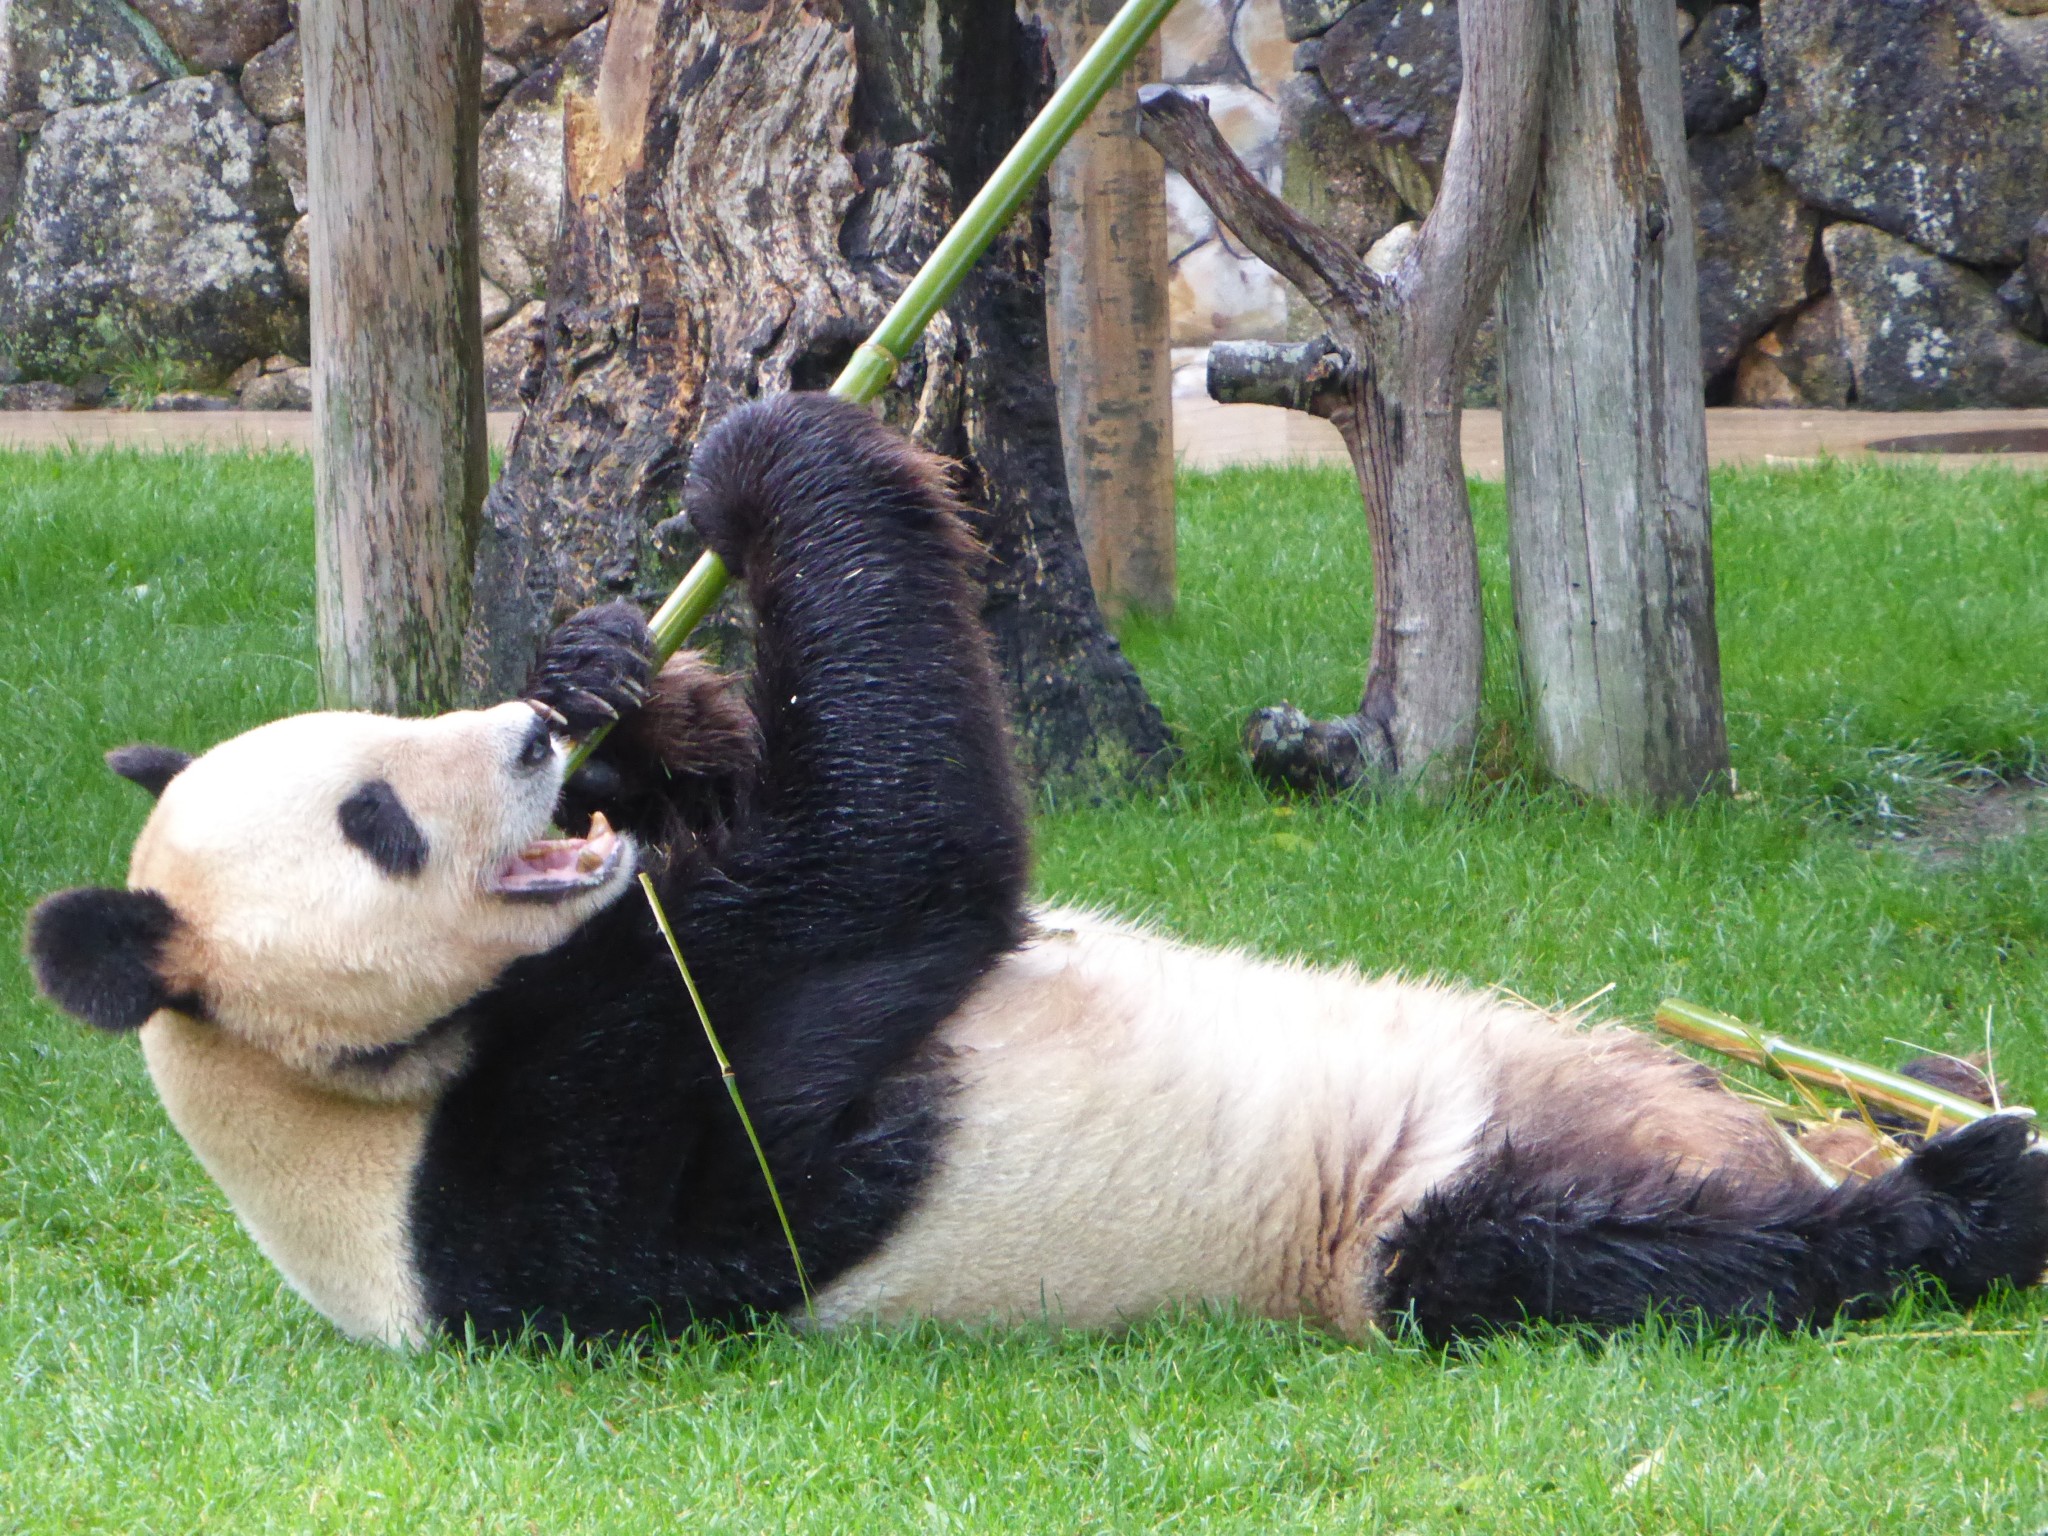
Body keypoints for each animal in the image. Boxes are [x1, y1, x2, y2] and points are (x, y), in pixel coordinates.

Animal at [25, 394, 2048, 1350]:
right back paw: (1962, 1189)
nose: (526, 743)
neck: (325, 1116)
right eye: (376, 814)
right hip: (1395, 1222)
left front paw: (620, 668)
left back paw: (1920, 1091)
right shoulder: (577, 1137)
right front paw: (760, 452)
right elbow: (901, 862)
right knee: (1598, 1258)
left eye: (383, 731)